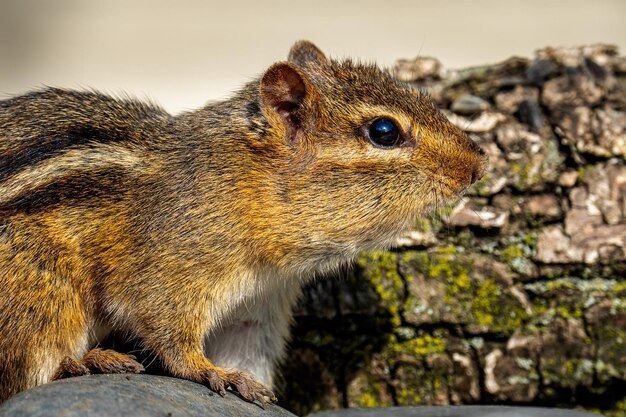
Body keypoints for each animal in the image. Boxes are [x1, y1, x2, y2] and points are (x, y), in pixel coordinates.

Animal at [0, 42, 488, 406]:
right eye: (384, 131)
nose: (478, 164)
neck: (245, 185)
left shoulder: (256, 308)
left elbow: (247, 350)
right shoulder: (169, 271)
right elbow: (165, 329)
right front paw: (211, 372)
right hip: (39, 294)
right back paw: (89, 361)